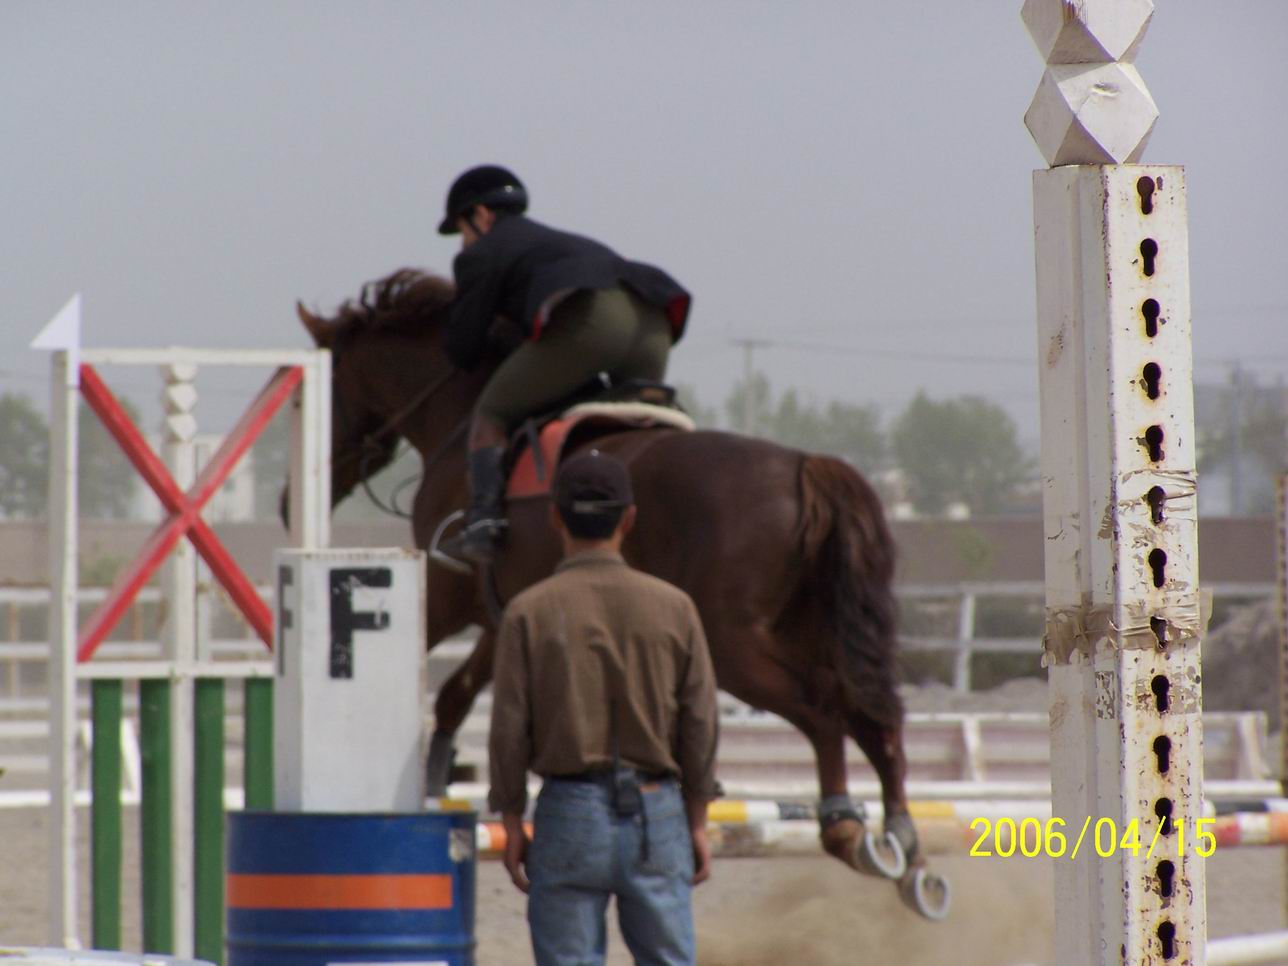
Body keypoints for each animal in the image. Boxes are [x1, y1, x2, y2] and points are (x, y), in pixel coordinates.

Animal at [296, 269, 953, 917]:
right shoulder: (505, 606)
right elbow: (460, 693)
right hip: (805, 631)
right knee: (870, 713)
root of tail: (806, 468)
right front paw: (442, 778)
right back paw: (907, 850)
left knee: (824, 707)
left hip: (733, 644)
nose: (287, 497)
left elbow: (439, 673)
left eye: (328, 384)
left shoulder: (446, 591)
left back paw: (845, 826)